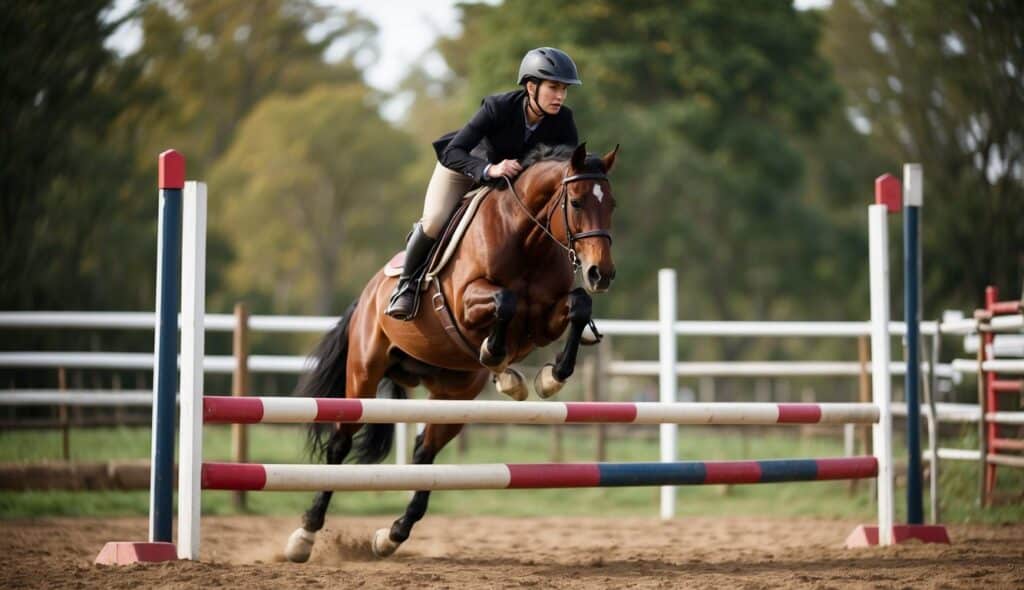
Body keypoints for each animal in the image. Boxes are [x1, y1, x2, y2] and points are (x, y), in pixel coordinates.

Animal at [282, 143, 614, 561]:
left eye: (612, 204)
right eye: (577, 201)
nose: (601, 273)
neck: (528, 241)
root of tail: (367, 293)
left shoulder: (543, 321)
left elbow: (579, 305)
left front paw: (549, 377)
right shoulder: (466, 302)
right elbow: (505, 301)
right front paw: (497, 355)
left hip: (454, 394)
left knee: (425, 452)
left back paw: (392, 535)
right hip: (364, 372)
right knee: (340, 444)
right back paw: (304, 535)